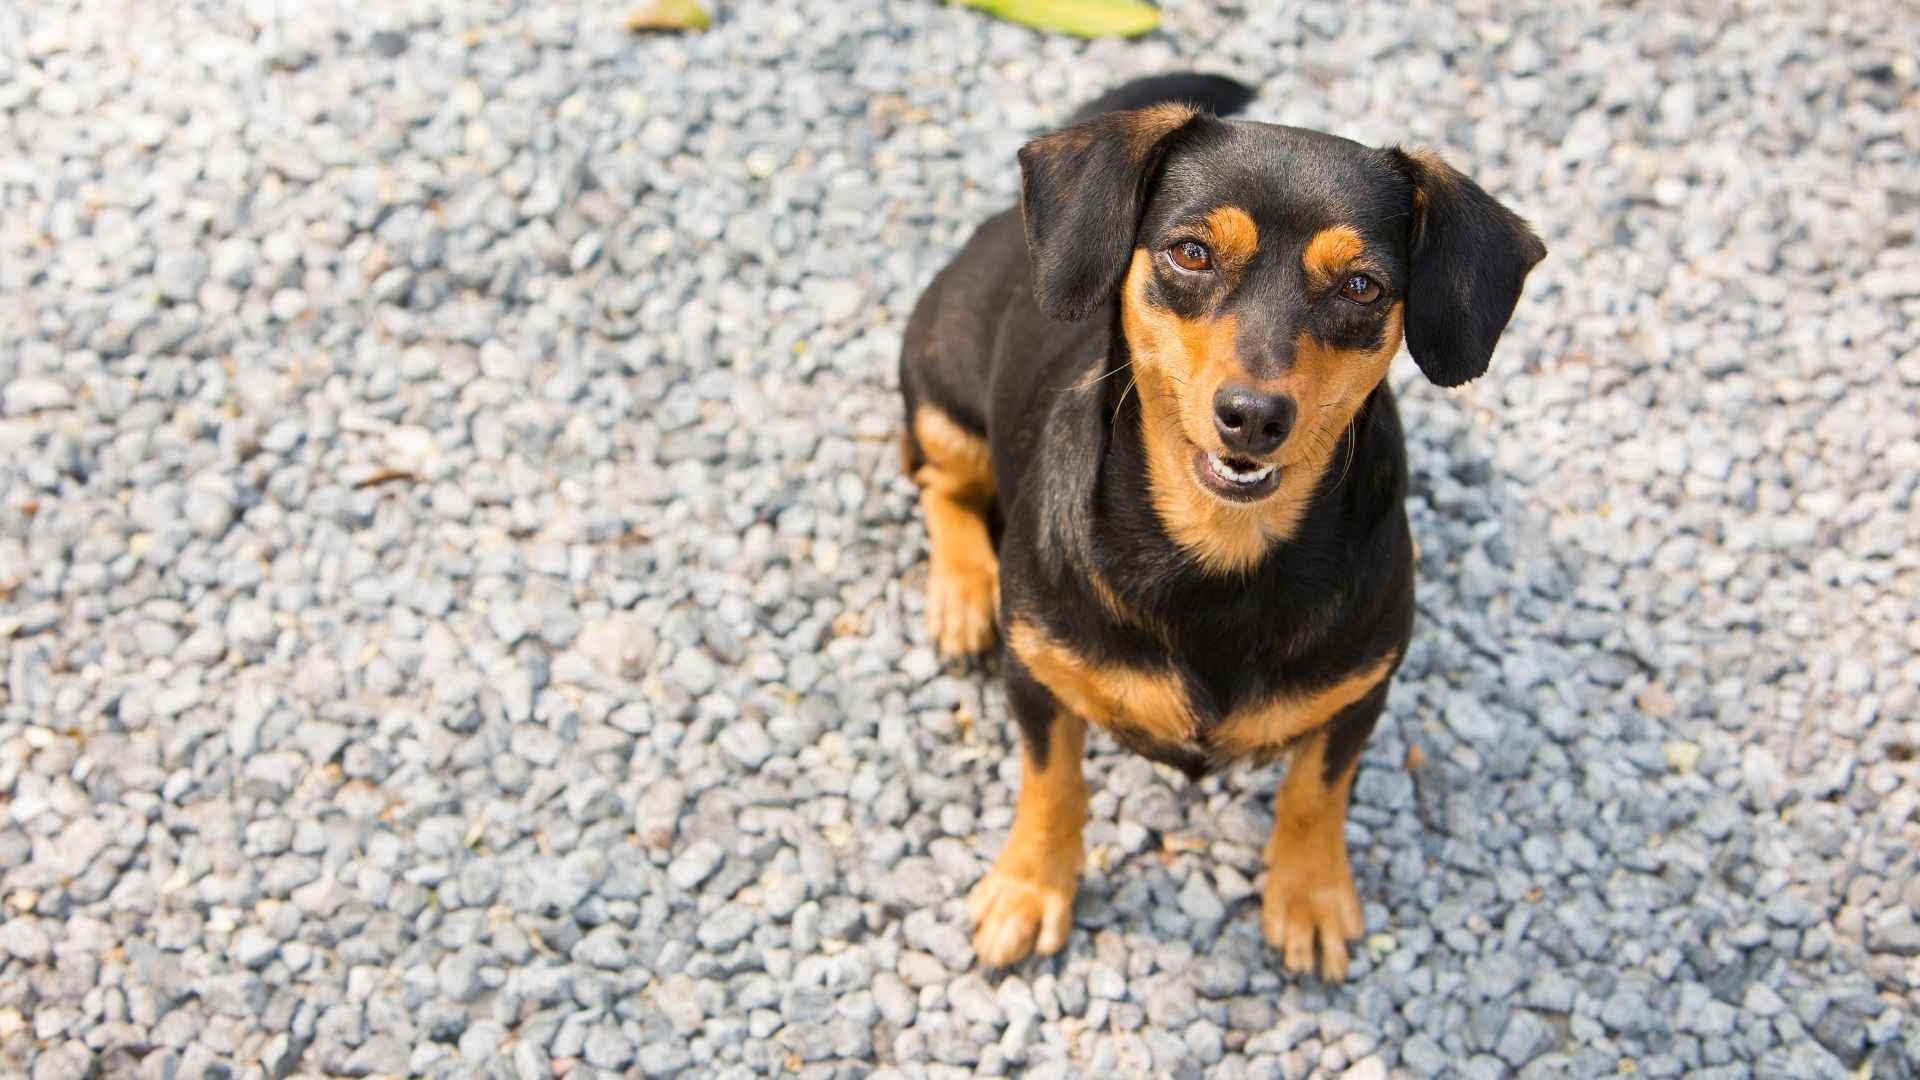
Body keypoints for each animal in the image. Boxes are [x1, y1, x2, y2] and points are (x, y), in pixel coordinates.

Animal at [898, 71, 1543, 972]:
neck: (1218, 549)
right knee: (939, 484)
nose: (1253, 417)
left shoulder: (1362, 689)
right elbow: (1053, 782)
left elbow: (1314, 791)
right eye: (1191, 252)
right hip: (941, 402)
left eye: (1362, 287)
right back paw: (961, 596)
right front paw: (1030, 888)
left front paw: (1309, 897)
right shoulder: (1037, 671)